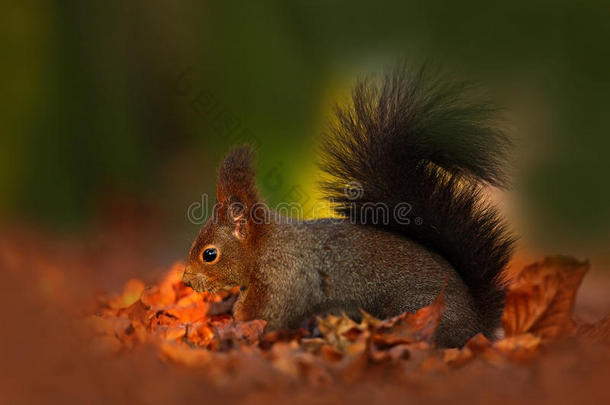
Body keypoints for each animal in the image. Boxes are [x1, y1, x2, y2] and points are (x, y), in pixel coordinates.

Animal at [182, 67, 512, 348]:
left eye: (209, 254)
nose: (186, 280)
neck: (266, 246)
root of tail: (478, 326)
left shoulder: (283, 279)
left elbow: (269, 315)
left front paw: (236, 323)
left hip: (414, 311)